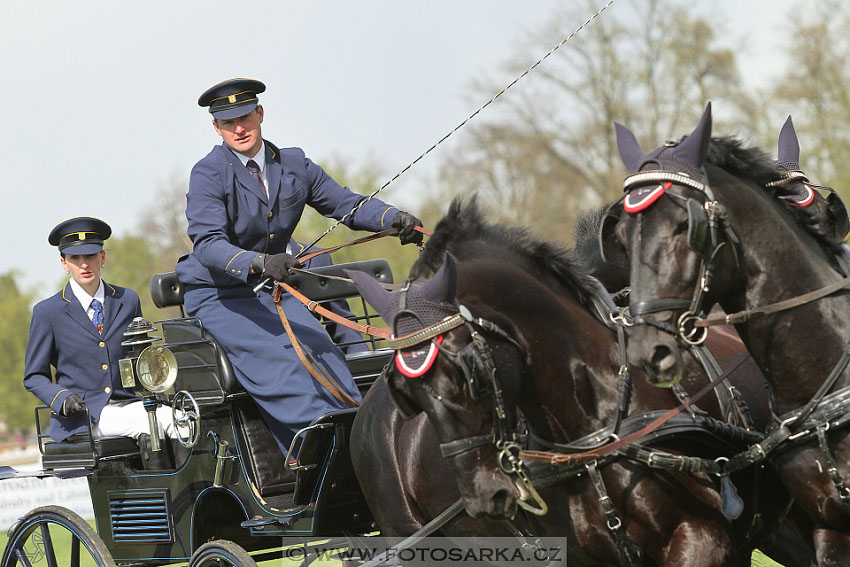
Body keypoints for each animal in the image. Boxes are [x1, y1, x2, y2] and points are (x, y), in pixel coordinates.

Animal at [344, 197, 800, 564]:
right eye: (411, 395)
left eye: (468, 374)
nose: (483, 496)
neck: (595, 424)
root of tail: (364, 416)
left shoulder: (703, 537)